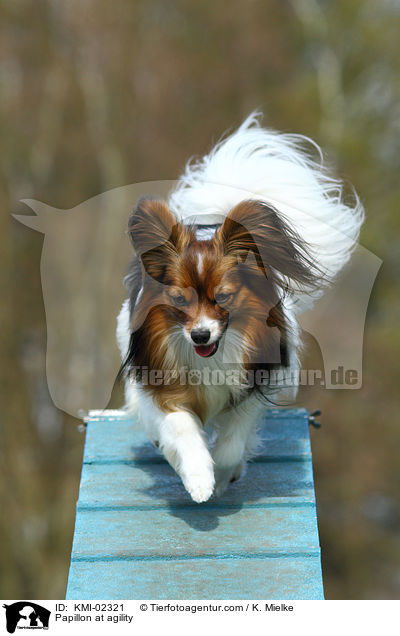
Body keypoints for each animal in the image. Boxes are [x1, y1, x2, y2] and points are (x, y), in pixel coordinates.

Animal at [116, 113, 366, 502]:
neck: (214, 354)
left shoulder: (254, 386)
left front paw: (220, 476)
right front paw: (199, 479)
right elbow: (181, 429)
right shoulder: (162, 386)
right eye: (179, 301)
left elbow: (233, 440)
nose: (200, 336)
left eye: (223, 297)